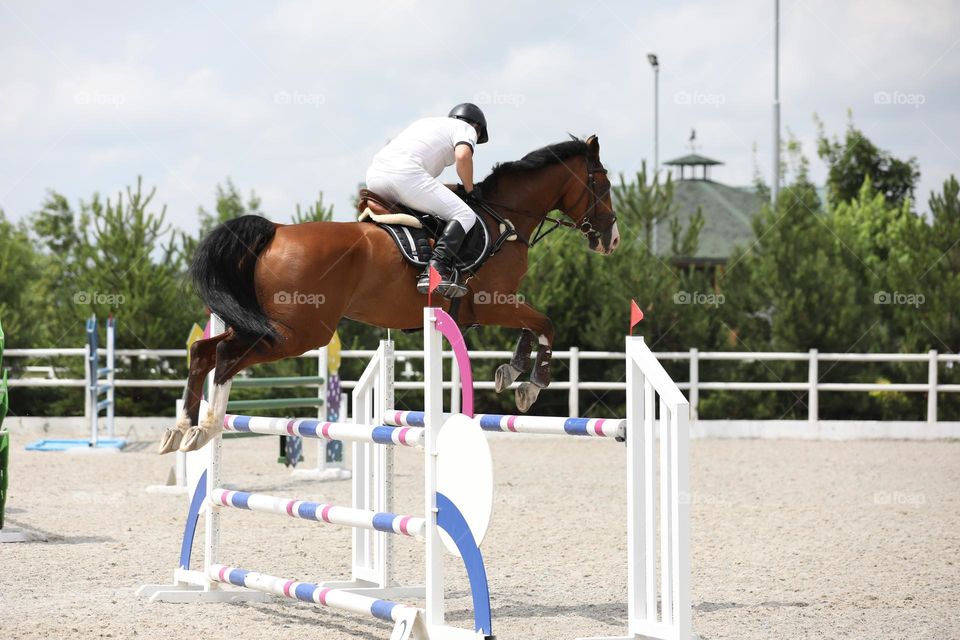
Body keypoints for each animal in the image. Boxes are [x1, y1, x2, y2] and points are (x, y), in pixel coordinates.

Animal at [161, 134, 619, 454]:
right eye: (603, 183)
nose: (611, 240)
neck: (504, 219)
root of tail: (275, 231)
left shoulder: (498, 306)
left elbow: (533, 327)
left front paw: (512, 372)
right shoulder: (495, 303)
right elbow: (545, 324)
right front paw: (531, 383)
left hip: (272, 325)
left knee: (202, 351)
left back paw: (182, 430)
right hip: (299, 332)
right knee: (224, 356)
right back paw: (207, 427)